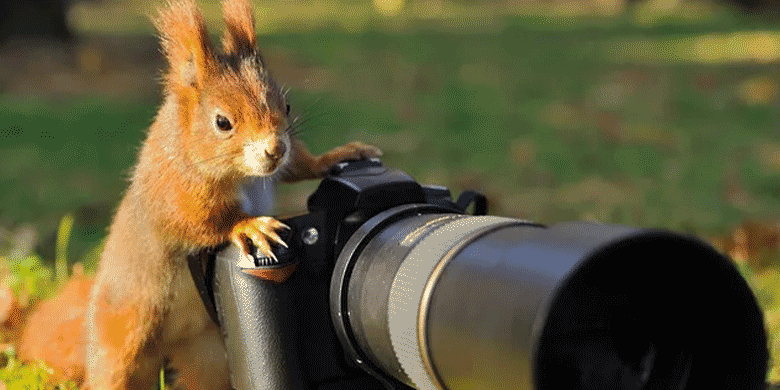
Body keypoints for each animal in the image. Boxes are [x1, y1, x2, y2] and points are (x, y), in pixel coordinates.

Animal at [16, 0, 382, 388]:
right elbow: (196, 222)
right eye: (222, 122)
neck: (242, 176)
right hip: (123, 335)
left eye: (285, 107)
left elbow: (298, 164)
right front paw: (249, 226)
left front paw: (338, 156)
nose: (274, 149)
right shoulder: (176, 188)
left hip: (209, 356)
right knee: (111, 370)